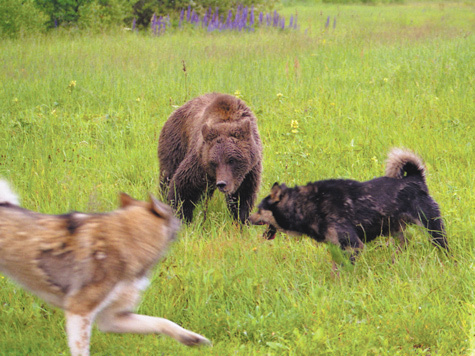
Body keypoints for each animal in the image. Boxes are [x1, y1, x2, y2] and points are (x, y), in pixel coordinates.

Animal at [0, 181, 210, 356]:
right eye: (171, 213)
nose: (183, 221)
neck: (127, 238)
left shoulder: (110, 318)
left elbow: (161, 321)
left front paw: (192, 338)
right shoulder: (79, 311)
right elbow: (81, 350)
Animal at [159, 93, 264, 224]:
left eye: (232, 160)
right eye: (213, 162)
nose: (222, 183)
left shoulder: (249, 171)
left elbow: (243, 196)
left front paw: (240, 220)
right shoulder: (199, 161)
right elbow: (182, 186)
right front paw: (184, 218)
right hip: (175, 144)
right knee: (167, 175)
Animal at [251, 148, 448, 262]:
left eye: (259, 210)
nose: (248, 219)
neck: (306, 205)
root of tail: (415, 178)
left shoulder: (352, 245)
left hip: (432, 227)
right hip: (394, 228)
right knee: (405, 242)